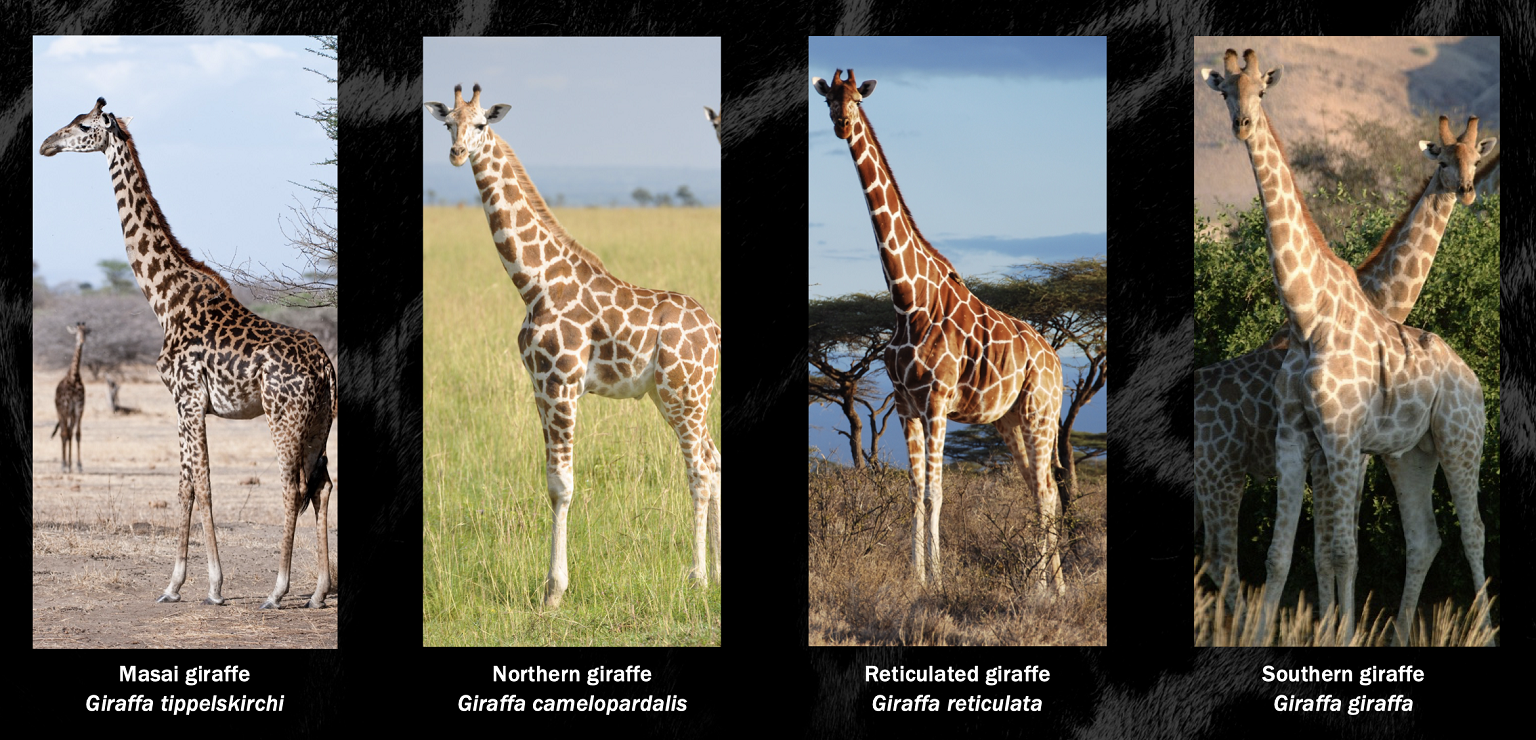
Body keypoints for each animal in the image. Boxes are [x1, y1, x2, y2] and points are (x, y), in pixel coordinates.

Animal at [51, 322, 89, 472]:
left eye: (86, 332)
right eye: (76, 333)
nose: (82, 342)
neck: (74, 377)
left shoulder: (79, 408)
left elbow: (78, 434)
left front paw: (79, 465)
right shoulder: (66, 407)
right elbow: (65, 434)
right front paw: (64, 465)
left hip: (71, 414)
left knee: (70, 433)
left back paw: (69, 464)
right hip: (61, 411)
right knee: (63, 433)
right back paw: (64, 464)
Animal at [425, 84, 722, 608]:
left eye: (481, 124)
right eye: (447, 124)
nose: (458, 153)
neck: (535, 283)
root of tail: (715, 332)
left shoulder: (562, 384)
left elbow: (563, 485)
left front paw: (554, 592)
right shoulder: (540, 387)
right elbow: (549, 481)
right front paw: (551, 586)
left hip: (684, 395)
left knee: (700, 470)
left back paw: (699, 578)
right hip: (677, 398)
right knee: (716, 461)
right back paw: (720, 573)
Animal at [813, 70, 1066, 591]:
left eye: (857, 100)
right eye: (828, 100)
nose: (842, 125)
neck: (907, 300)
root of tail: (1057, 362)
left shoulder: (937, 402)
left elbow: (937, 492)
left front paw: (940, 581)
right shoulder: (905, 405)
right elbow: (914, 491)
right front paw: (917, 578)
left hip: (1041, 413)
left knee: (1047, 491)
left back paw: (1045, 587)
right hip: (1011, 421)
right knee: (1041, 490)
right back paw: (1049, 588)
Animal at [1201, 50, 1490, 643]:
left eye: (1261, 91)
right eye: (1225, 91)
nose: (1242, 125)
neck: (1310, 313)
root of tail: (1472, 375)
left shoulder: (1343, 444)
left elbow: (1334, 550)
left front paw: (1339, 631)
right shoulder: (1303, 441)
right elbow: (1290, 554)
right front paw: (1288, 635)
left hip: (1457, 440)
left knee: (1469, 530)